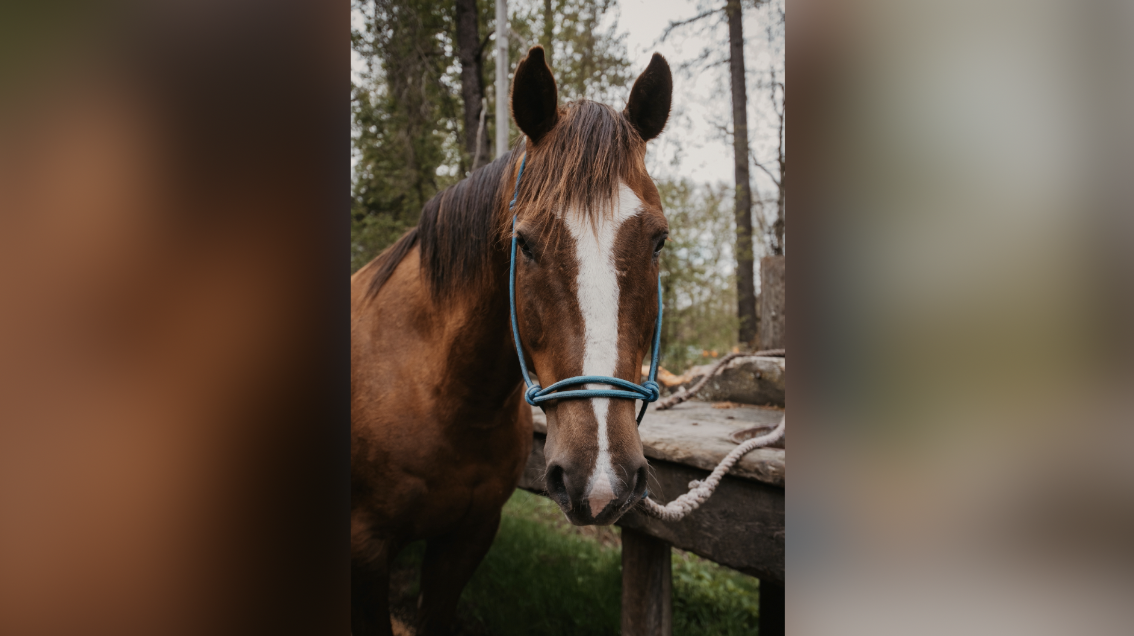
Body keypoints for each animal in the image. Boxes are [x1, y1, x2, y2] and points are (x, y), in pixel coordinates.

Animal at [350, 45, 673, 636]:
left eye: (658, 240)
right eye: (524, 243)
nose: (600, 478)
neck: (445, 395)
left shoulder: (468, 538)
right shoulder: (364, 550)